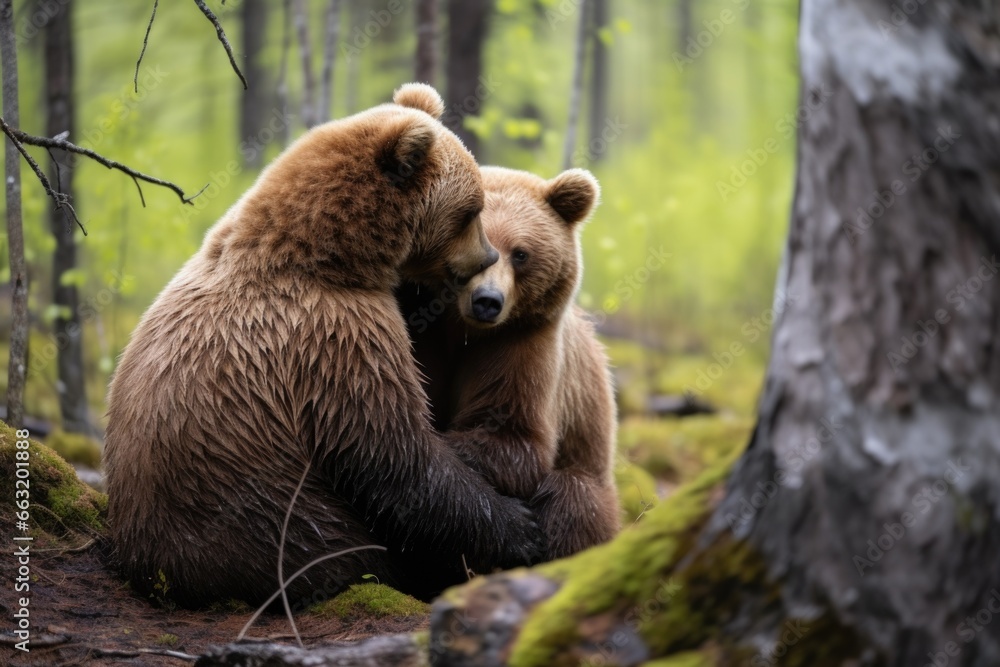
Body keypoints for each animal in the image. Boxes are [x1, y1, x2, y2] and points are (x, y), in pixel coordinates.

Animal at [103, 84, 543, 609]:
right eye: (472, 209)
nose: (487, 255)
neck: (333, 258)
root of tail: (153, 567)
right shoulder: (334, 339)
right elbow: (394, 456)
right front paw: (520, 525)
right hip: (274, 518)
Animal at [400, 166, 620, 560]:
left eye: (520, 253)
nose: (487, 301)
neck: (463, 329)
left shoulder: (523, 341)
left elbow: (515, 437)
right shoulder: (422, 330)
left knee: (573, 499)